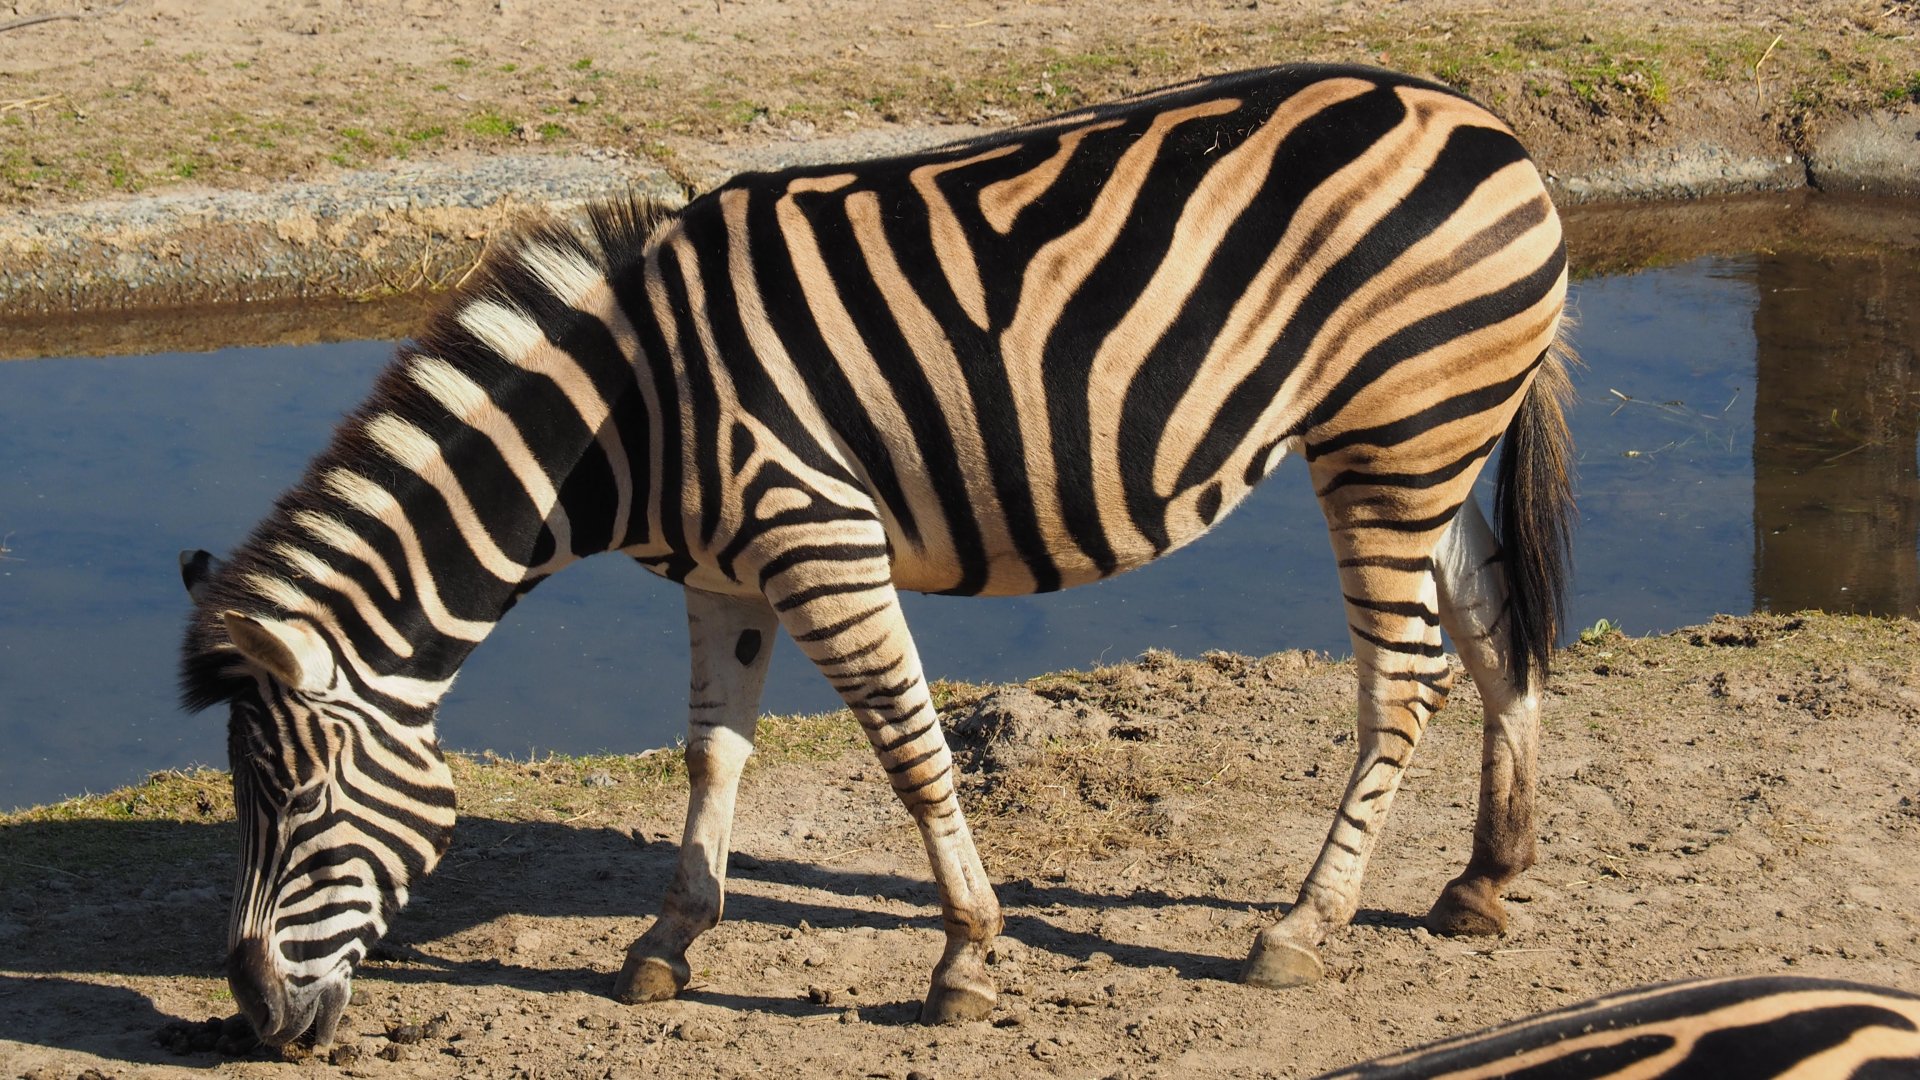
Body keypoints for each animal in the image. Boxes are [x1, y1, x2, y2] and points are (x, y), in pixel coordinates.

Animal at [178, 62, 1574, 1047]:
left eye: (297, 806)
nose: (253, 1019)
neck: (630, 414)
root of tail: (1487, 121)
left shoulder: (820, 539)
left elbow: (909, 749)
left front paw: (964, 959)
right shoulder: (722, 573)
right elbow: (712, 752)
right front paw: (669, 940)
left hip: (1393, 438)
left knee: (1403, 679)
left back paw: (1303, 927)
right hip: (1426, 440)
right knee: (1494, 619)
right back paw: (1486, 878)